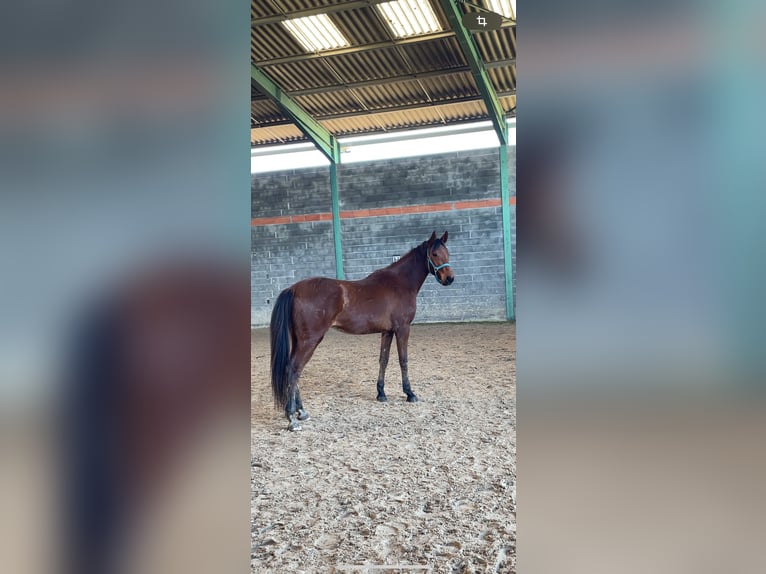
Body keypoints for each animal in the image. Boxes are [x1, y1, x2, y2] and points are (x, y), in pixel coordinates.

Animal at [270, 232, 452, 430]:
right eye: (434, 254)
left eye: (447, 253)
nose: (449, 279)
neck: (399, 283)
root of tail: (293, 289)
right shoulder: (403, 328)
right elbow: (403, 360)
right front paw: (410, 393)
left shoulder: (387, 331)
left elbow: (383, 360)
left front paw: (381, 393)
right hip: (309, 341)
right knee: (293, 369)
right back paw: (292, 418)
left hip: (300, 340)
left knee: (294, 370)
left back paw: (301, 411)